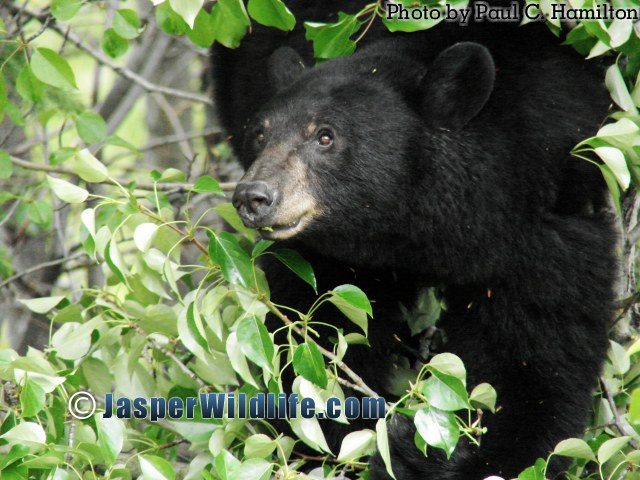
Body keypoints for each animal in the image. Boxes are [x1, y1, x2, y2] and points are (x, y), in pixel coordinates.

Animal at [211, 1, 618, 478]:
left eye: (325, 135)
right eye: (260, 134)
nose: (253, 197)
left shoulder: (546, 223)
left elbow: (531, 361)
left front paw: (439, 456)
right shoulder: (328, 255)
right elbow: (317, 339)